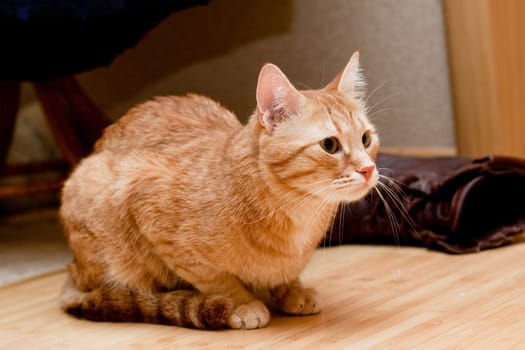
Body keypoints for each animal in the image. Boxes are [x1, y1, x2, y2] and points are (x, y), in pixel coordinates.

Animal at [59, 50, 378, 330]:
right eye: (329, 145)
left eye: (366, 139)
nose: (368, 169)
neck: (298, 216)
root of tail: (72, 267)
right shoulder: (150, 206)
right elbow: (216, 279)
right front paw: (241, 303)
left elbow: (282, 274)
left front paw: (290, 289)